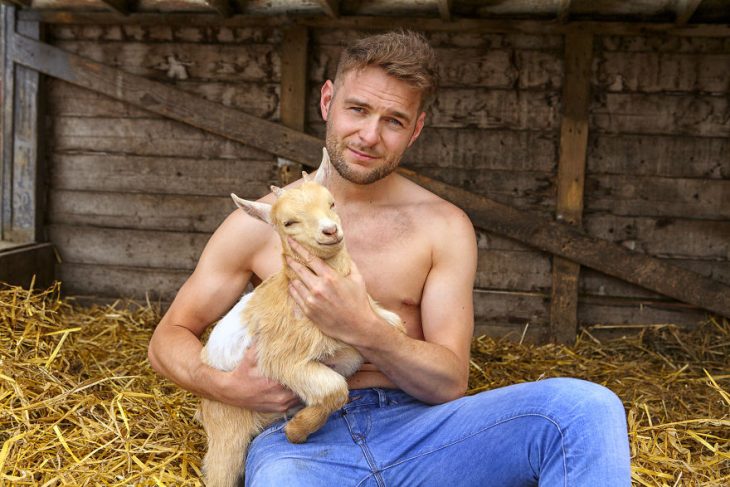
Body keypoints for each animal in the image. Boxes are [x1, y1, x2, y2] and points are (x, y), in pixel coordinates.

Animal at [199, 149, 404, 487]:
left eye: (331, 203)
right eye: (288, 222)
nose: (330, 231)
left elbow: (395, 328)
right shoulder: (282, 359)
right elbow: (335, 389)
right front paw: (295, 432)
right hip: (227, 425)